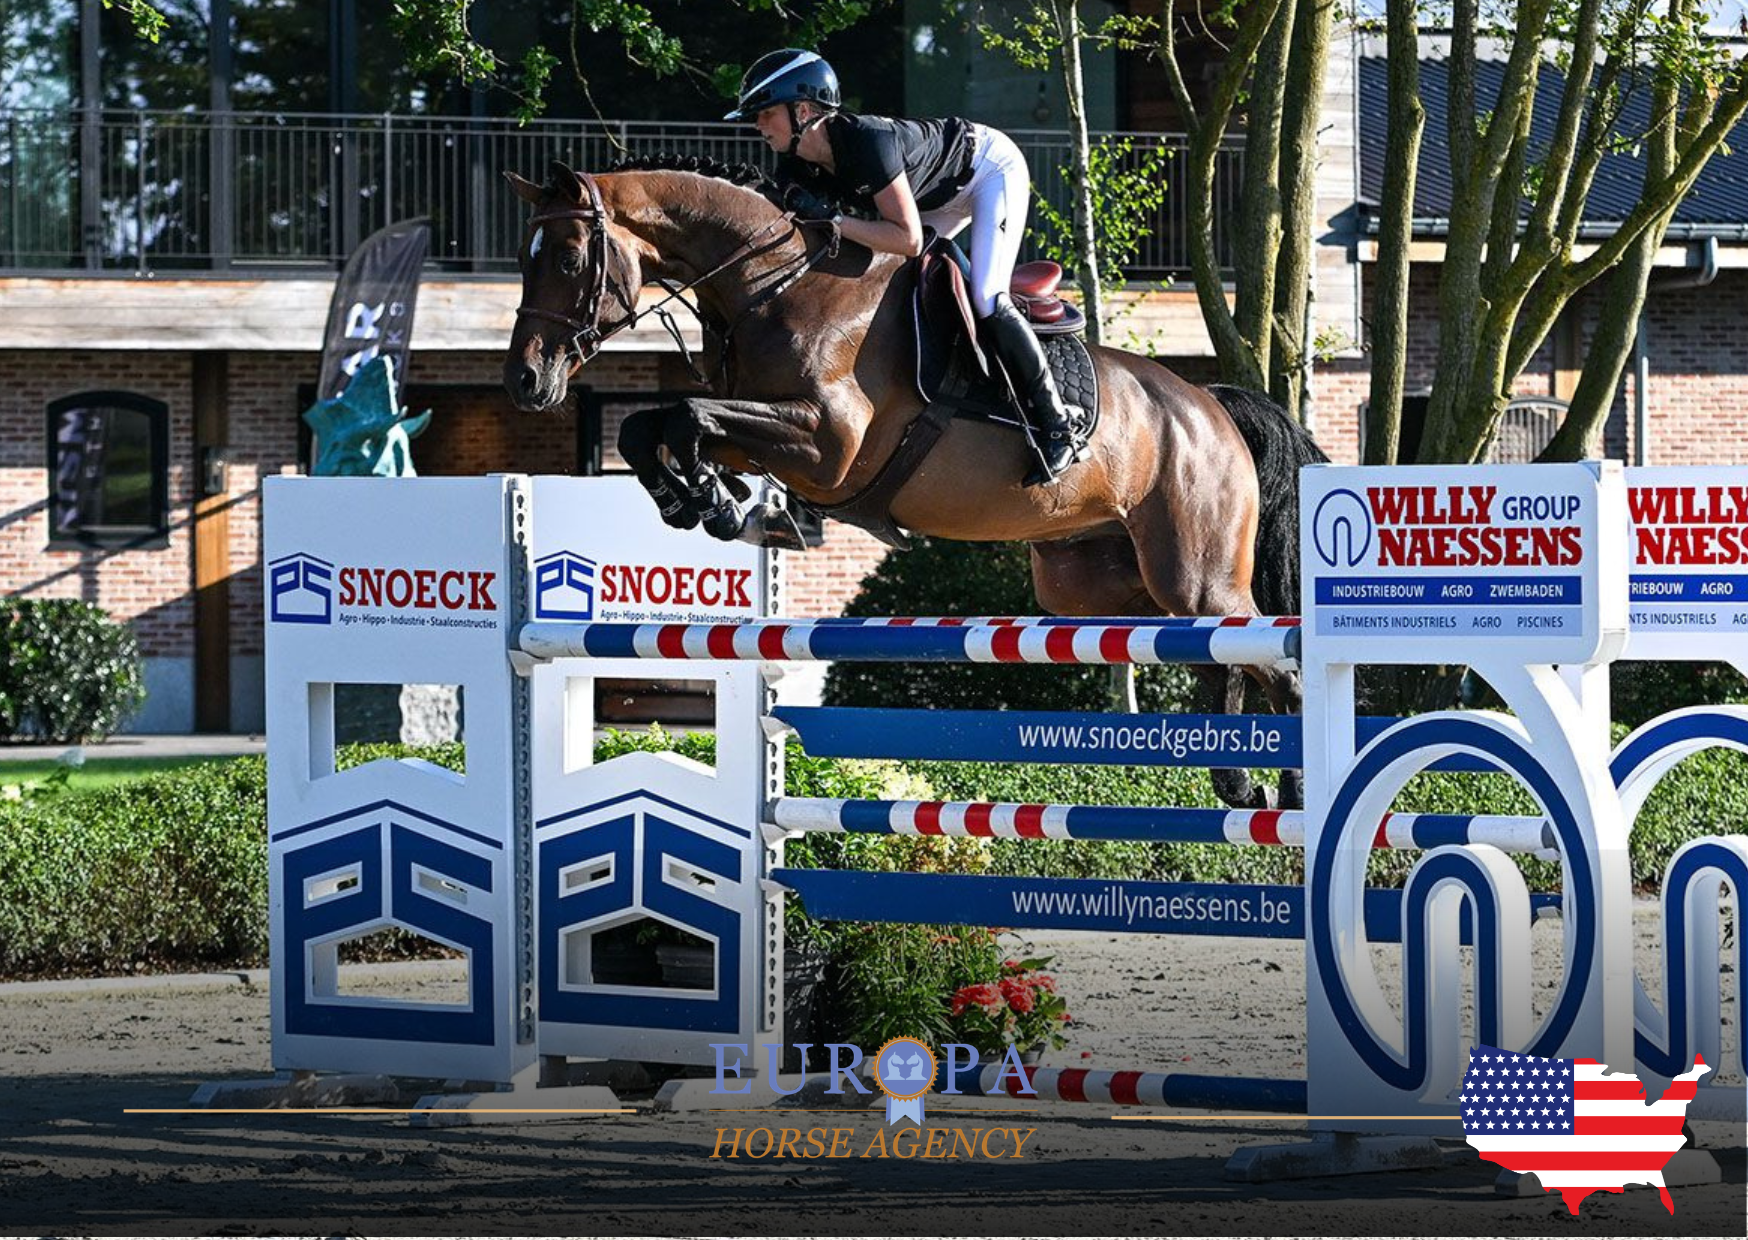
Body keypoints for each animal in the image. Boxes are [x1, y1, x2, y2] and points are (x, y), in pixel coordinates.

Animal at [502, 157, 1327, 809]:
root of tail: (1209, 403)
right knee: (1215, 657)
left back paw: (1288, 791)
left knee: (1273, 665)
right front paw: (708, 499)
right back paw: (1237, 781)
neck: (774, 285)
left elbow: (686, 415)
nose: (526, 381)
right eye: (524, 256)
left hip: (1197, 574)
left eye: (569, 260)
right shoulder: (773, 433)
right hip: (1103, 584)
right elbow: (654, 427)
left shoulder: (825, 442)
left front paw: (712, 499)